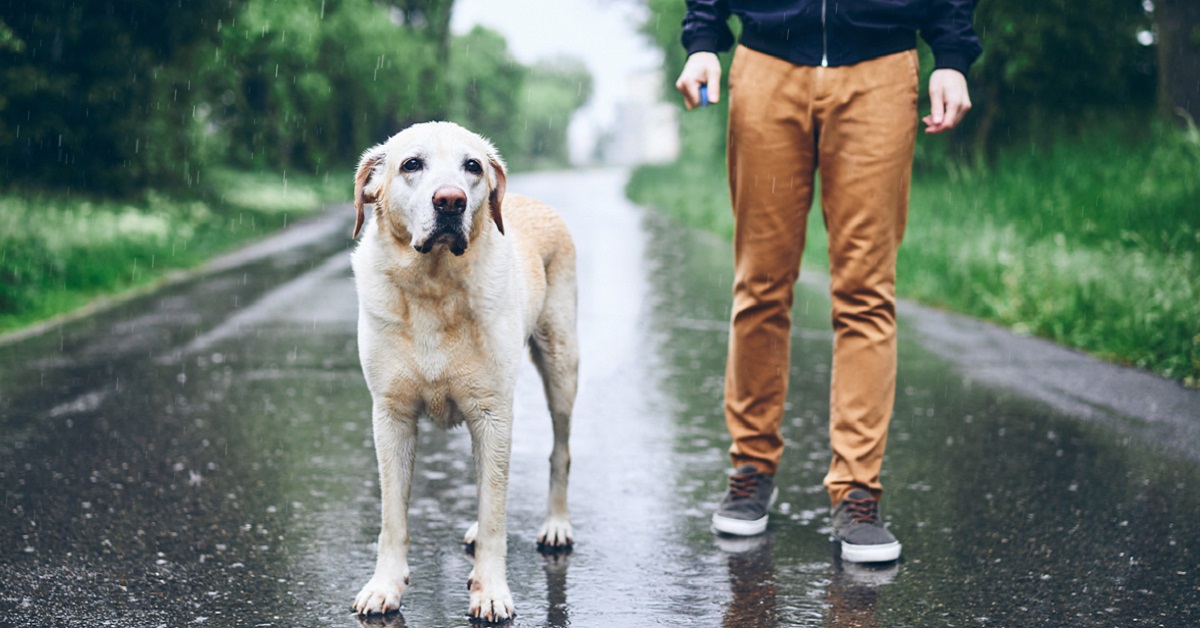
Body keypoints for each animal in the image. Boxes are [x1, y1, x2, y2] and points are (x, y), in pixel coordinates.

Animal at [348, 120, 576, 619]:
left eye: (472, 166)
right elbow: (393, 516)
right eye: (411, 164)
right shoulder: (390, 416)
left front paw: (491, 590)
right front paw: (385, 586)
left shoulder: (492, 414)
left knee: (559, 452)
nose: (451, 201)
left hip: (562, 366)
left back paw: (556, 525)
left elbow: (495, 516)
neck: (434, 286)